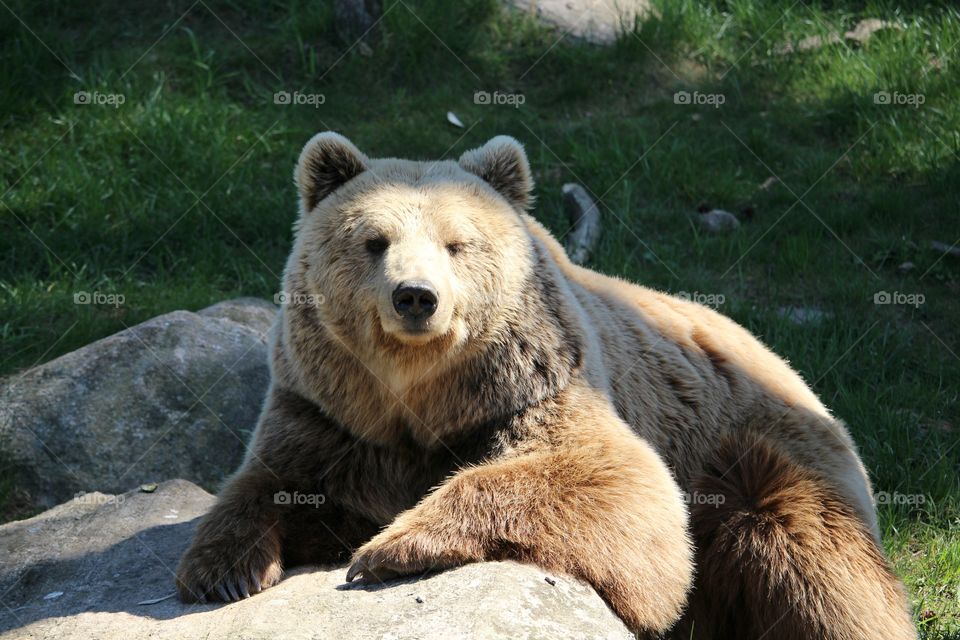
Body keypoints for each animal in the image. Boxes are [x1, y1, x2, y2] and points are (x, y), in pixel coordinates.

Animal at [176, 132, 920, 636]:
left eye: (457, 243)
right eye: (374, 241)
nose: (416, 297)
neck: (417, 396)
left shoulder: (537, 391)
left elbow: (614, 485)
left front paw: (387, 548)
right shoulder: (329, 415)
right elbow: (266, 483)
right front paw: (219, 571)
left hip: (762, 452)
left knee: (814, 567)